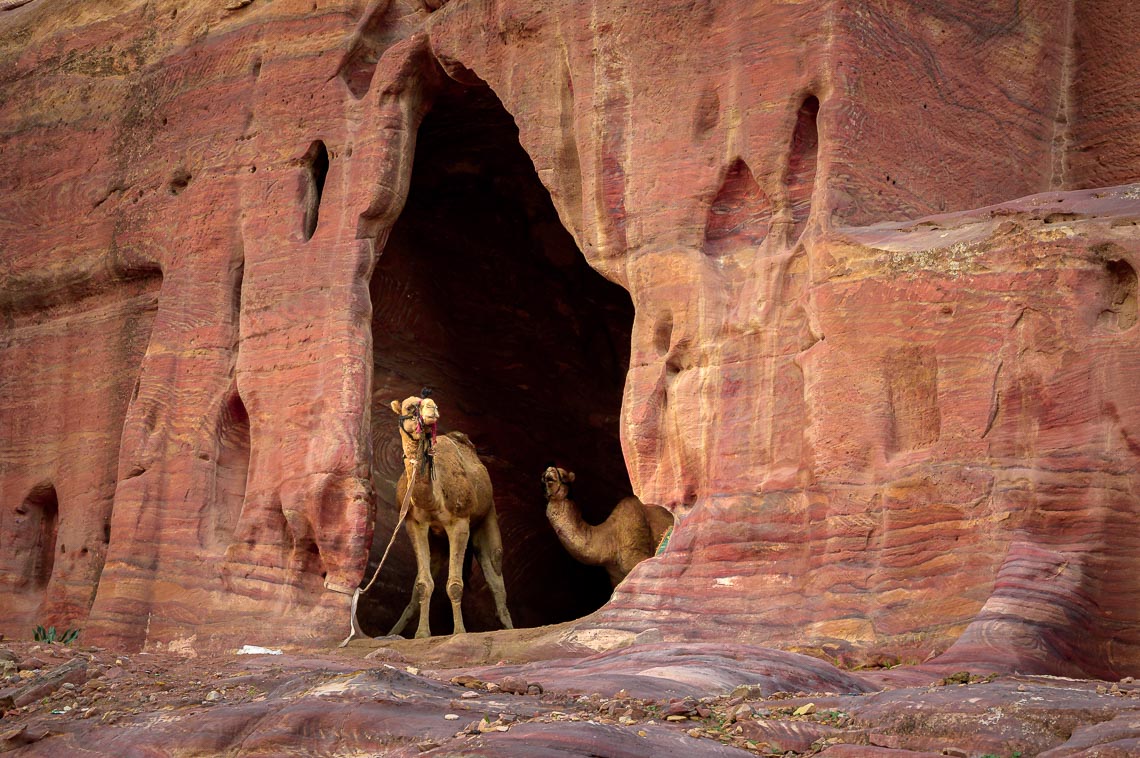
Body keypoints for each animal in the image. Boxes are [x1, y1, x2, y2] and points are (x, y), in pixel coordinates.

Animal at [387, 392, 513, 633]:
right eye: (410, 407)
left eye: (429, 401)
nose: (432, 408)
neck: (433, 499)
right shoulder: (414, 523)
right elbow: (423, 585)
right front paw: (421, 634)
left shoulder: (459, 521)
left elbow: (455, 584)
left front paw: (460, 632)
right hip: (438, 543)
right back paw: (393, 632)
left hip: (488, 515)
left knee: (496, 572)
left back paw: (510, 628)